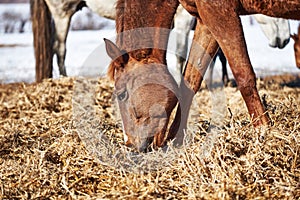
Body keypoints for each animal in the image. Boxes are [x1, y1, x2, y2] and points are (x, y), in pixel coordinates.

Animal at [105, 0, 300, 152]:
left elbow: (243, 75)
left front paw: (264, 132)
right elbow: (189, 81)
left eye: (121, 94)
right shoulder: (205, 18)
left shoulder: (219, 12)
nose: (130, 145)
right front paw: (174, 142)